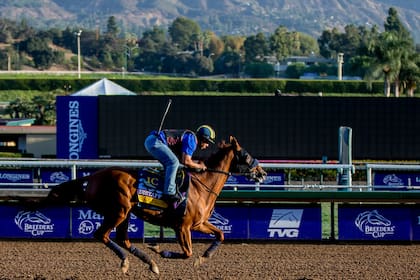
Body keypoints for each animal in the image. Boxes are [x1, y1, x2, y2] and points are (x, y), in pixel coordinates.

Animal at [44, 137, 266, 274]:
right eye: (246, 155)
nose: (262, 173)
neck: (202, 186)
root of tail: (92, 177)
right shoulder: (182, 227)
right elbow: (187, 253)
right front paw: (160, 249)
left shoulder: (199, 223)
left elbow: (220, 235)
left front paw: (203, 258)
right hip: (118, 211)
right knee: (102, 235)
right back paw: (127, 261)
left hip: (125, 213)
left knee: (122, 239)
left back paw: (150, 264)